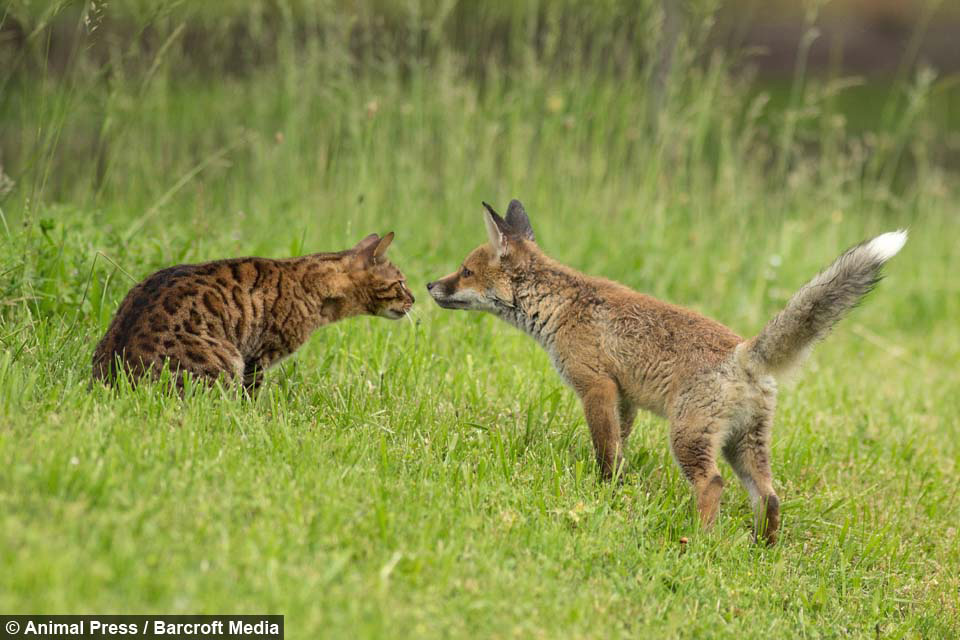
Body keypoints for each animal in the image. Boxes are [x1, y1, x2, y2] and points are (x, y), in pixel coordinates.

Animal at [428, 198, 908, 544]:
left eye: (465, 271)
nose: (431, 284)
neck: (561, 307)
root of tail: (744, 353)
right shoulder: (623, 398)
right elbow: (618, 448)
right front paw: (616, 489)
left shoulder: (595, 386)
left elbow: (605, 451)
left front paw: (604, 492)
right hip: (743, 445)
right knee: (770, 497)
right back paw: (763, 550)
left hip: (687, 437)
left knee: (712, 485)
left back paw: (699, 542)